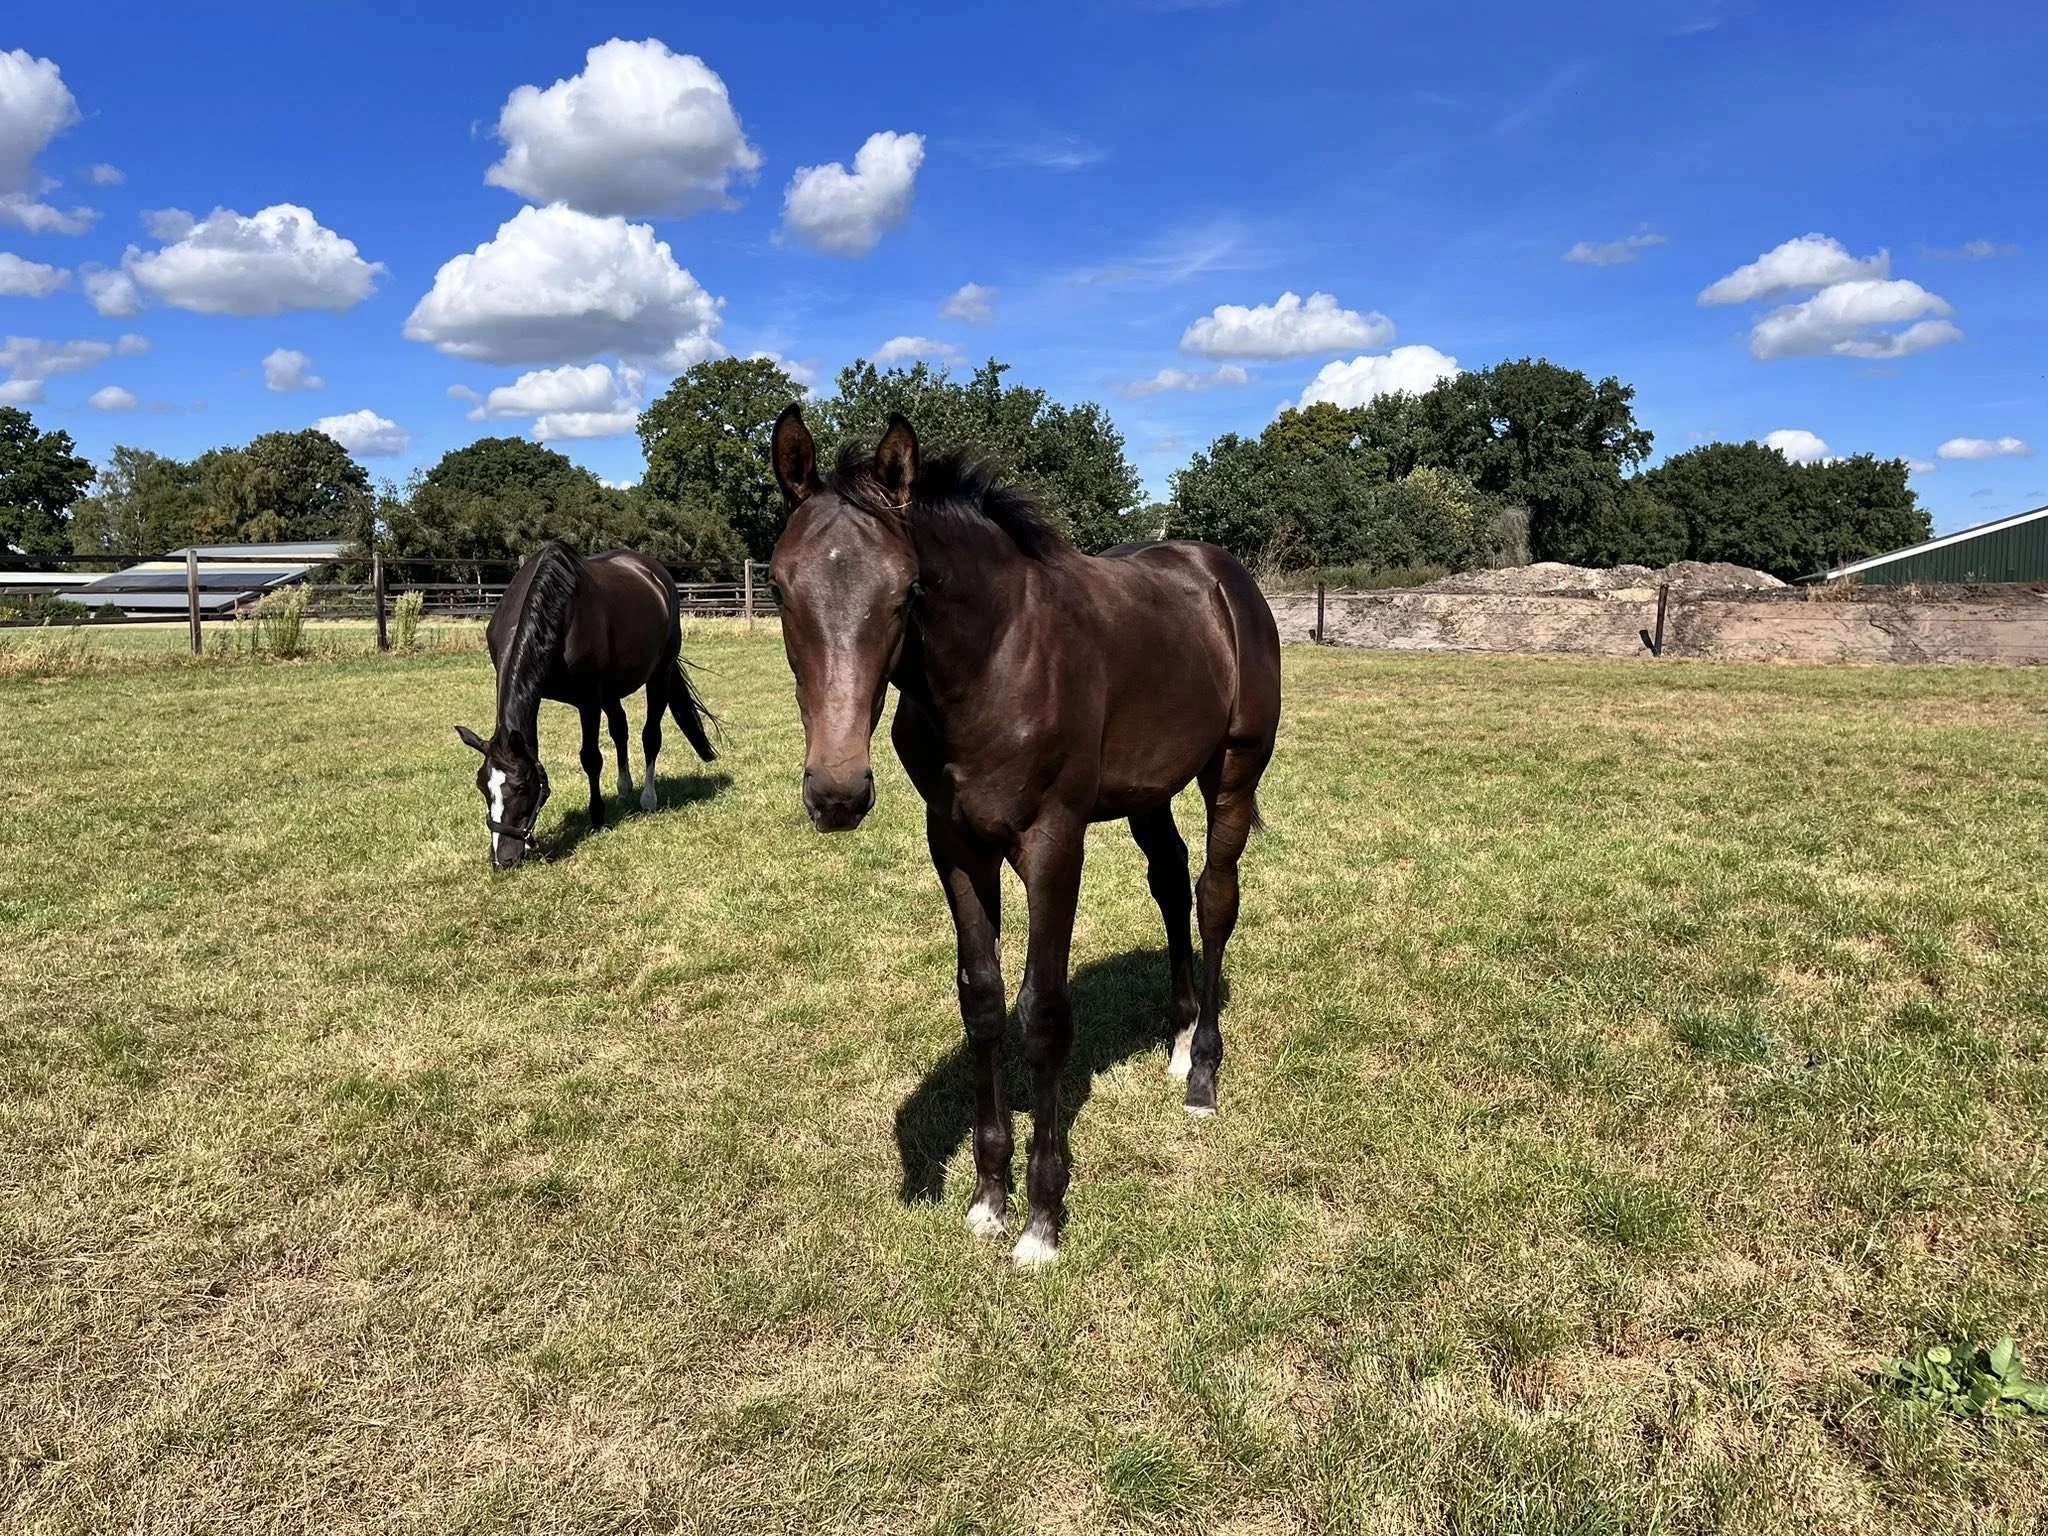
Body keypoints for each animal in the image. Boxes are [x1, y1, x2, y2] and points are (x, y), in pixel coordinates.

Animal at [455, 540, 715, 868]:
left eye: (522, 786)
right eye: (482, 786)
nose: (504, 858)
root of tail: (656, 574)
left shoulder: (588, 699)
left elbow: (591, 757)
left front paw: (597, 816)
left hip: (660, 673)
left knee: (650, 736)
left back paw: (647, 799)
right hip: (612, 691)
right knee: (620, 729)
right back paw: (624, 790)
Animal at [767, 407, 1281, 1267]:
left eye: (908, 591)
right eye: (777, 585)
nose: (837, 794)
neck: (995, 663)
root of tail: (1221, 574)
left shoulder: (1053, 843)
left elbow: (1043, 1011)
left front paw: (1042, 1216)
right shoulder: (955, 844)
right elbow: (982, 999)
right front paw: (987, 1197)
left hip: (1232, 774)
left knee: (1214, 898)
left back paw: (1203, 1076)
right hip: (1147, 790)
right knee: (1170, 881)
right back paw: (1177, 1042)